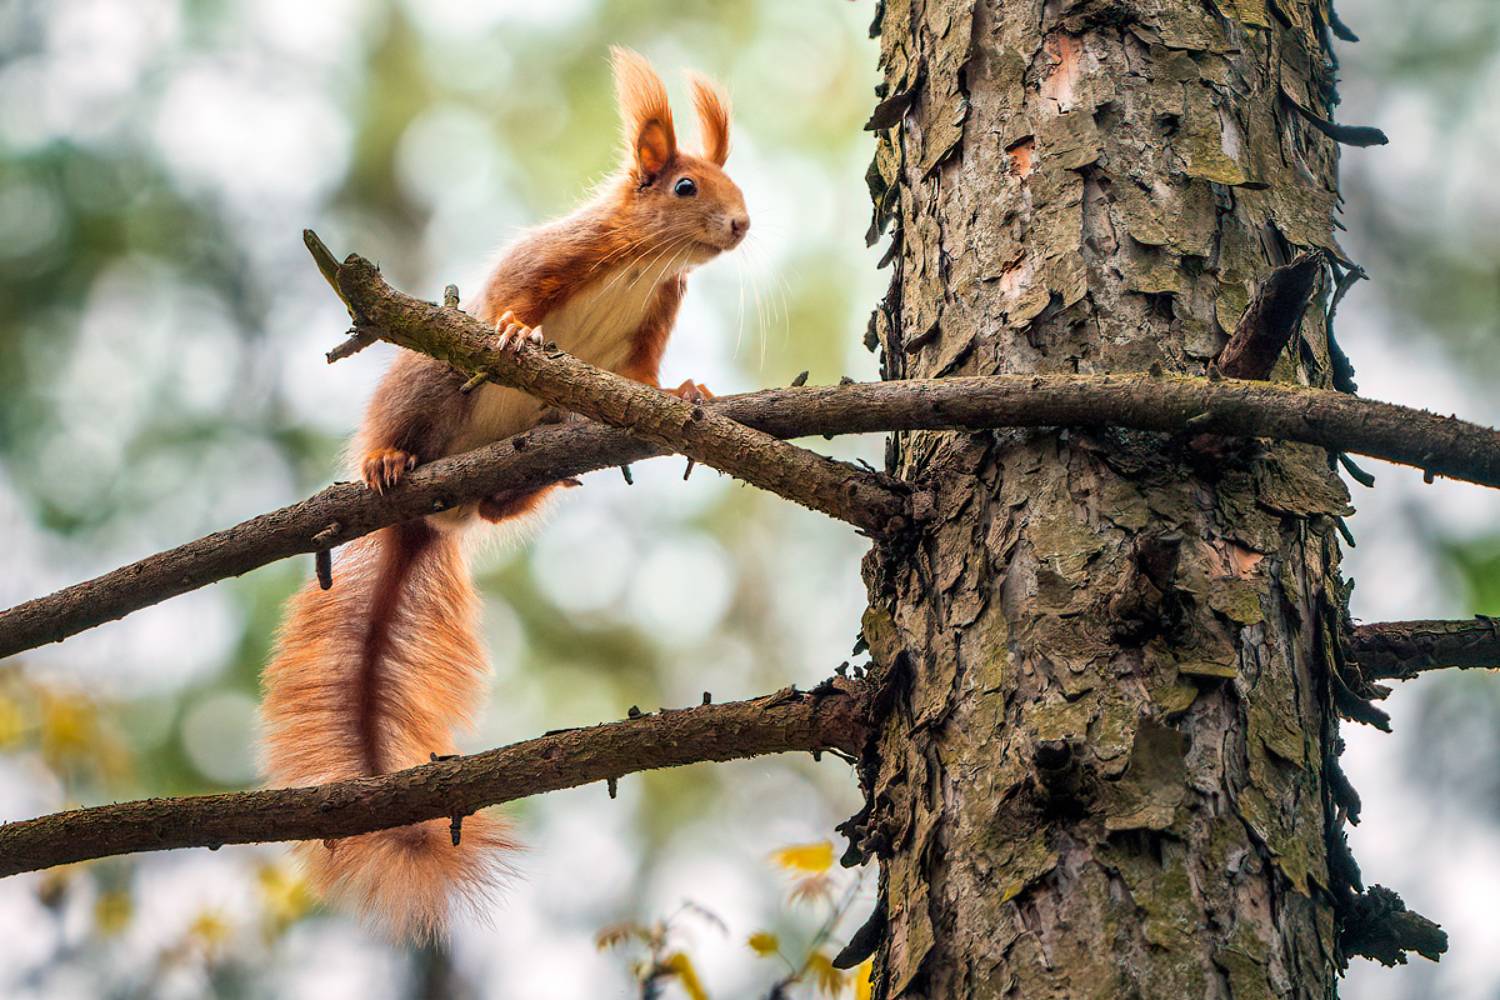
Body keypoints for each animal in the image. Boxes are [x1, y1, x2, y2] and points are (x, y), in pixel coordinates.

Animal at [259, 48, 749, 940]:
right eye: (685, 186)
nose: (742, 225)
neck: (646, 262)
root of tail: (429, 517)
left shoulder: (647, 335)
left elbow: (646, 381)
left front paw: (691, 391)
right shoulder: (553, 259)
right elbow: (515, 298)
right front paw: (519, 332)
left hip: (523, 470)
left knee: (510, 495)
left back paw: (531, 477)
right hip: (427, 382)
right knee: (405, 420)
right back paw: (386, 461)